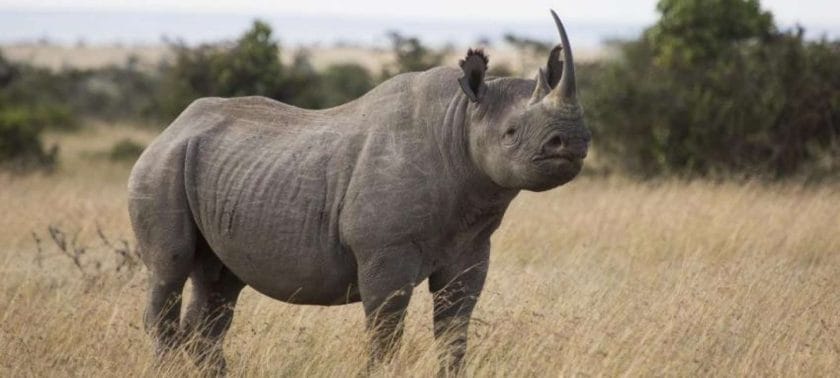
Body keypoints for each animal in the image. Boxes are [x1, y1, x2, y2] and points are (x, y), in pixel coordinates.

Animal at [130, 10, 592, 374]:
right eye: (511, 133)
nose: (572, 141)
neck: (459, 123)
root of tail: (170, 128)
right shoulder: (384, 252)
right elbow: (385, 333)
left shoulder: (471, 247)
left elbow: (455, 329)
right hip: (159, 166)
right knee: (169, 270)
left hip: (219, 172)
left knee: (220, 285)